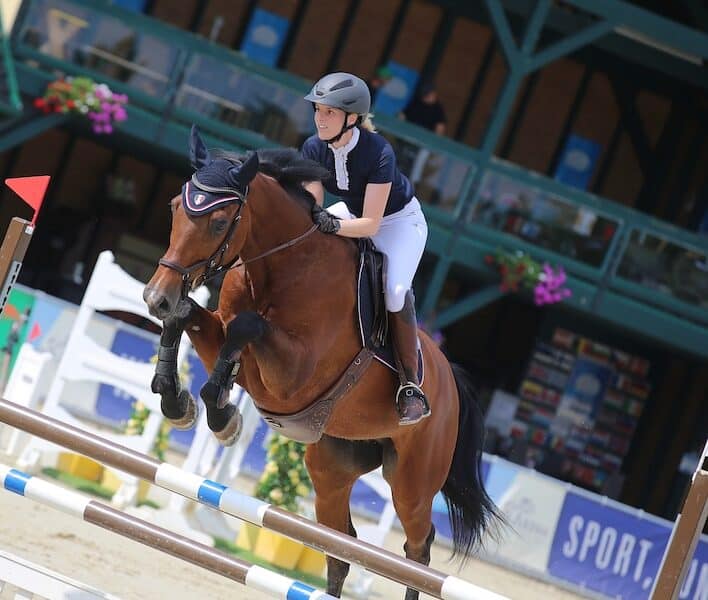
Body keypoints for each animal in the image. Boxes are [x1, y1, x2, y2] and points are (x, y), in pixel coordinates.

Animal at [143, 127, 498, 599]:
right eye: (174, 208)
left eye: (219, 222)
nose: (155, 297)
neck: (281, 266)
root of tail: (450, 379)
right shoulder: (228, 339)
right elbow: (190, 319)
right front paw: (176, 401)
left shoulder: (293, 376)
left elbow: (246, 329)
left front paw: (221, 415)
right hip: (332, 468)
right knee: (341, 547)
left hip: (413, 484)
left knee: (418, 550)